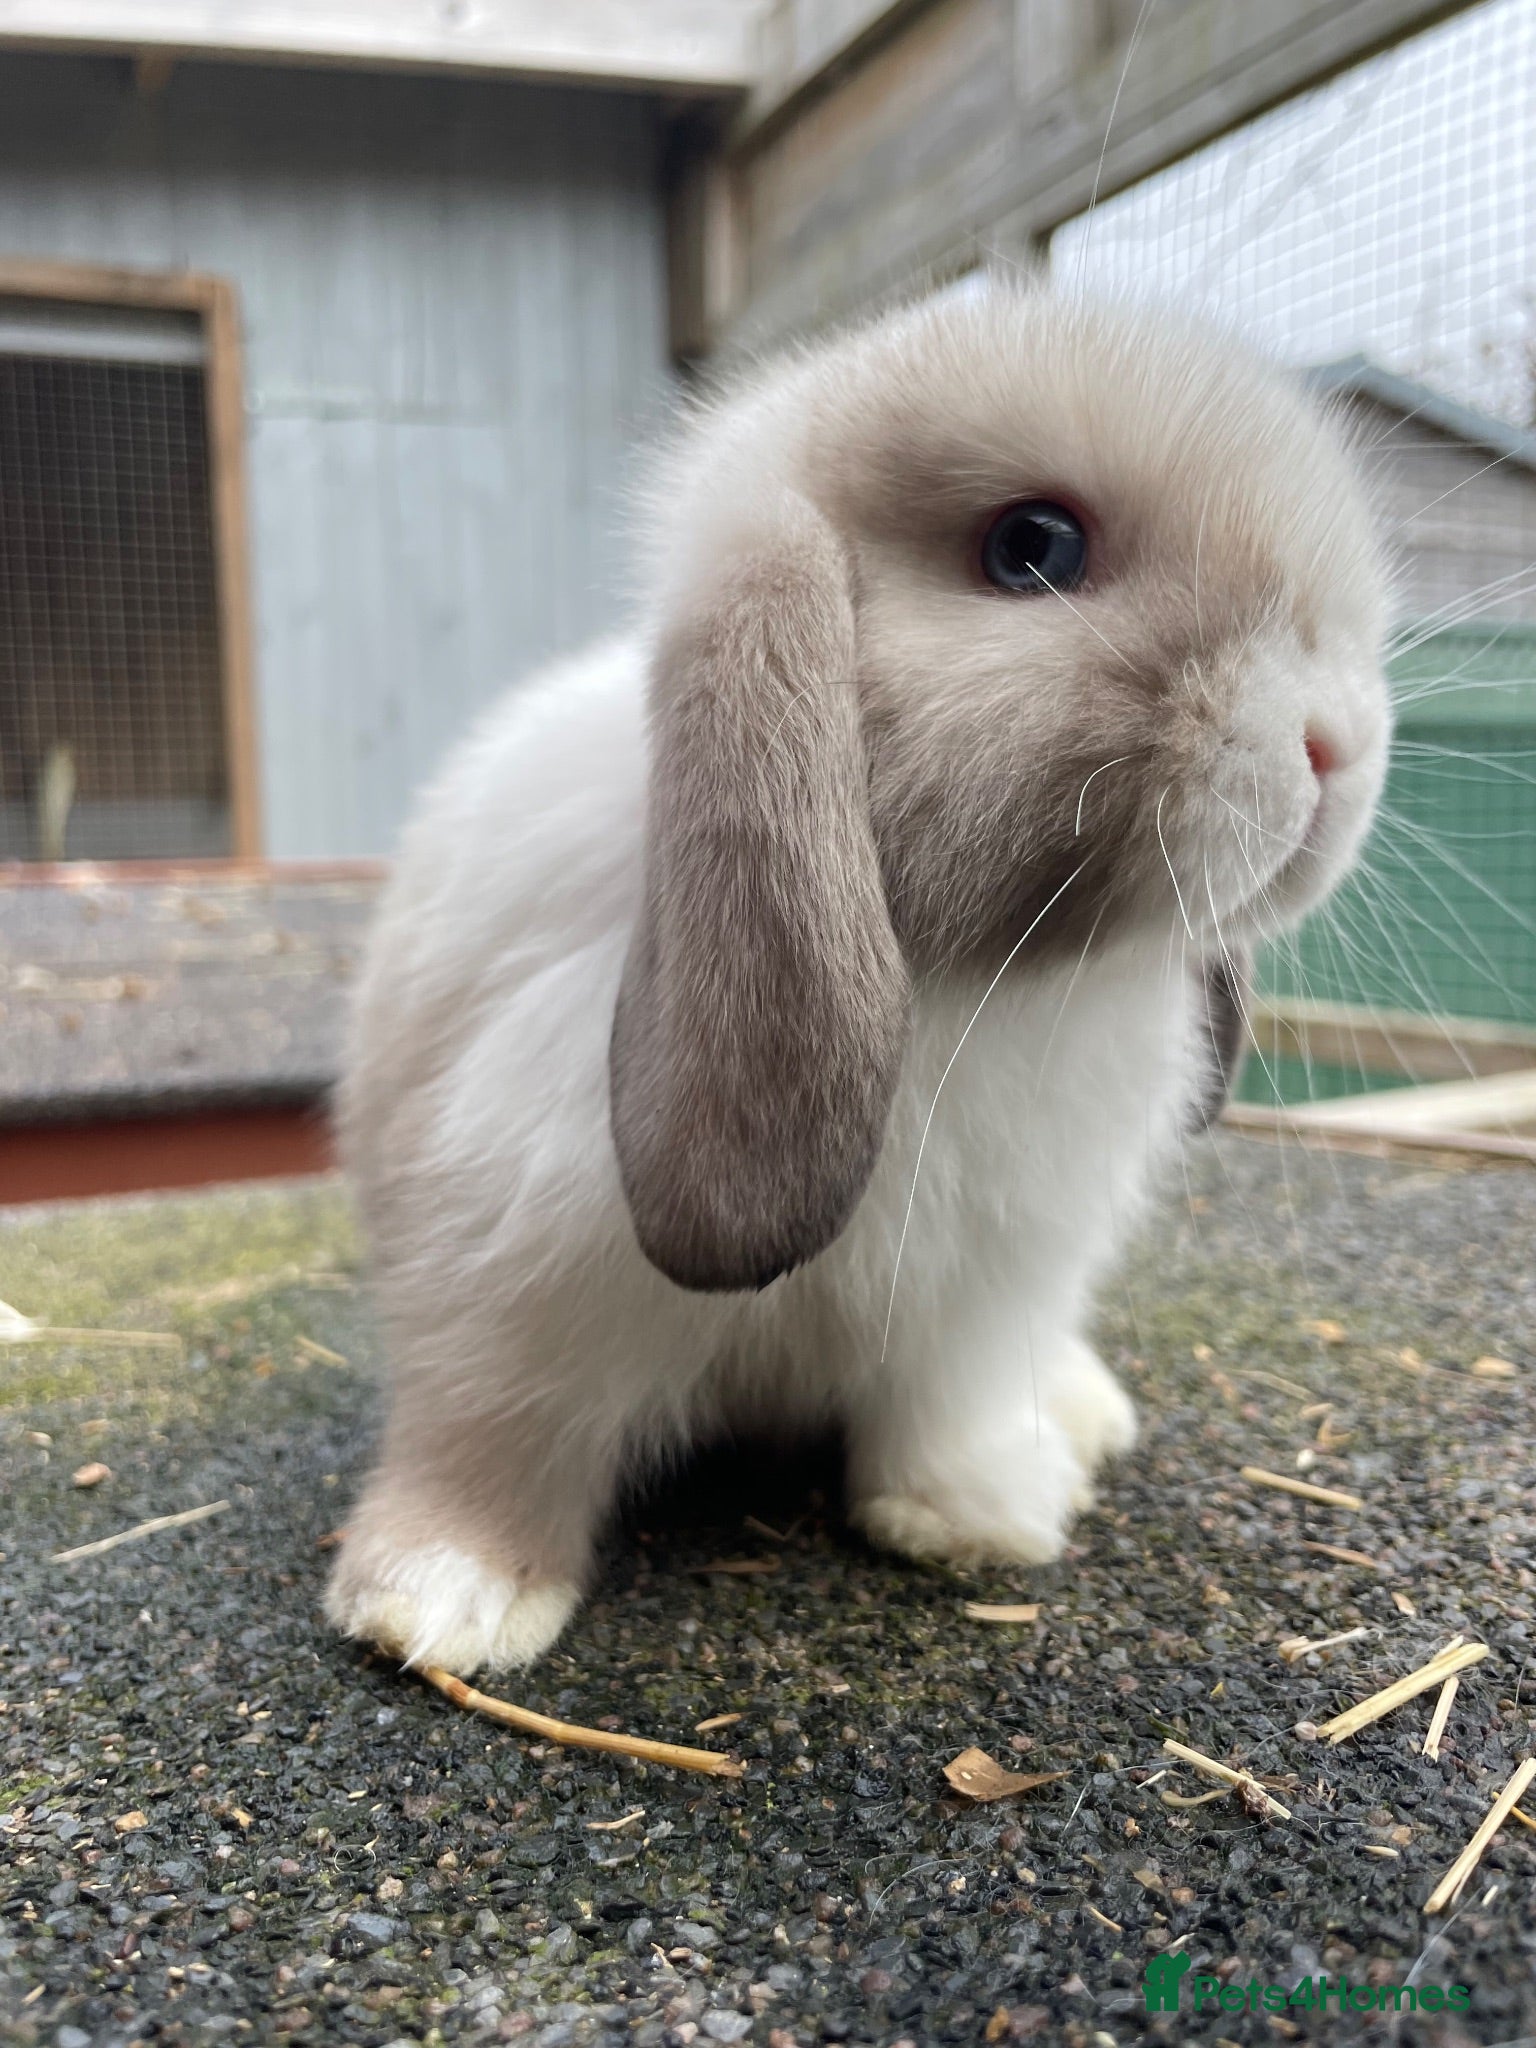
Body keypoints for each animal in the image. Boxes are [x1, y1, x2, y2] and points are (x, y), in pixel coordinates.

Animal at [325, 284, 1390, 1676]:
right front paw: (442, 1599)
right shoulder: (506, 1273)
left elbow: (948, 1404)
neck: (978, 977)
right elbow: (497, 1432)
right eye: (1035, 547)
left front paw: (978, 1514)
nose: (1339, 741)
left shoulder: (984, 1289)